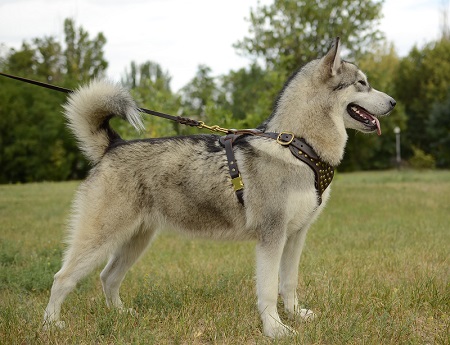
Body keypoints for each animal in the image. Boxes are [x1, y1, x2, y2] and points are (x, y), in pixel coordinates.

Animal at [42, 37, 394, 336]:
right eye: (362, 83)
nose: (392, 102)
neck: (297, 145)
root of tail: (113, 146)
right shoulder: (272, 236)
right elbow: (269, 289)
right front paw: (275, 329)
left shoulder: (295, 235)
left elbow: (289, 283)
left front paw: (295, 315)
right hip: (100, 238)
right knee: (62, 278)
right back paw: (50, 325)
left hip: (136, 240)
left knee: (108, 276)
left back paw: (120, 315)